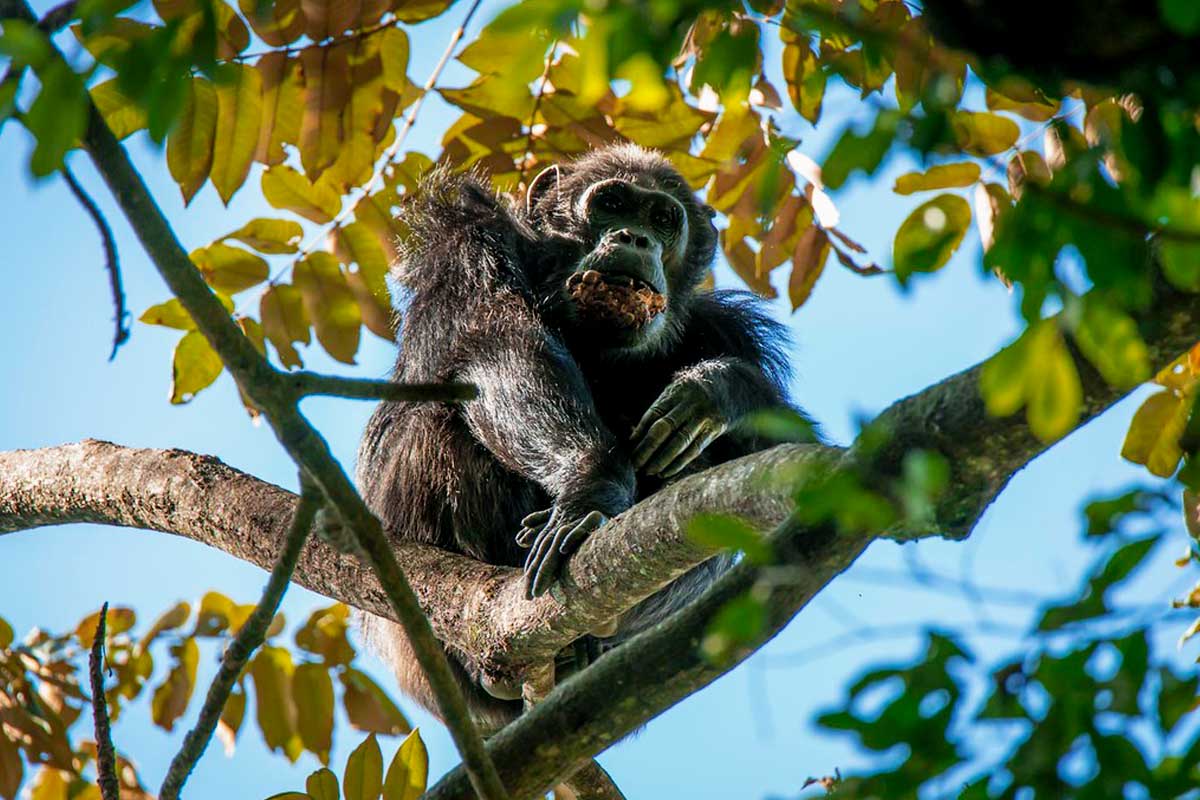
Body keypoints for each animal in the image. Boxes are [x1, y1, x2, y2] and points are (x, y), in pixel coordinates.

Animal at [352, 143, 806, 734]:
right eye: (611, 202)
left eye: (663, 219)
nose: (634, 237)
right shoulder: (466, 244)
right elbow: (501, 349)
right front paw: (591, 487)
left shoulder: (727, 328)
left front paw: (717, 390)